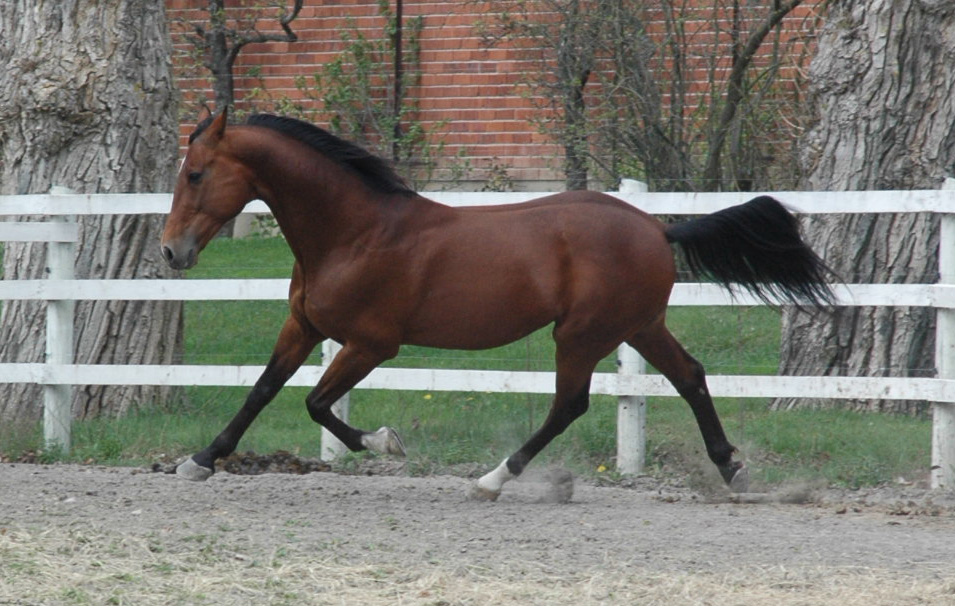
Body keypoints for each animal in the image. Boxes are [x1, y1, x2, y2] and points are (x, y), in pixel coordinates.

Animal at [161, 109, 832, 498]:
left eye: (195, 174)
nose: (171, 252)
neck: (355, 232)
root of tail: (656, 227)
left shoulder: (371, 343)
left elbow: (317, 404)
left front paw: (386, 442)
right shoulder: (303, 326)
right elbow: (262, 390)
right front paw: (199, 461)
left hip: (583, 333)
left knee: (569, 404)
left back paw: (491, 480)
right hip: (638, 325)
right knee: (690, 377)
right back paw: (732, 470)